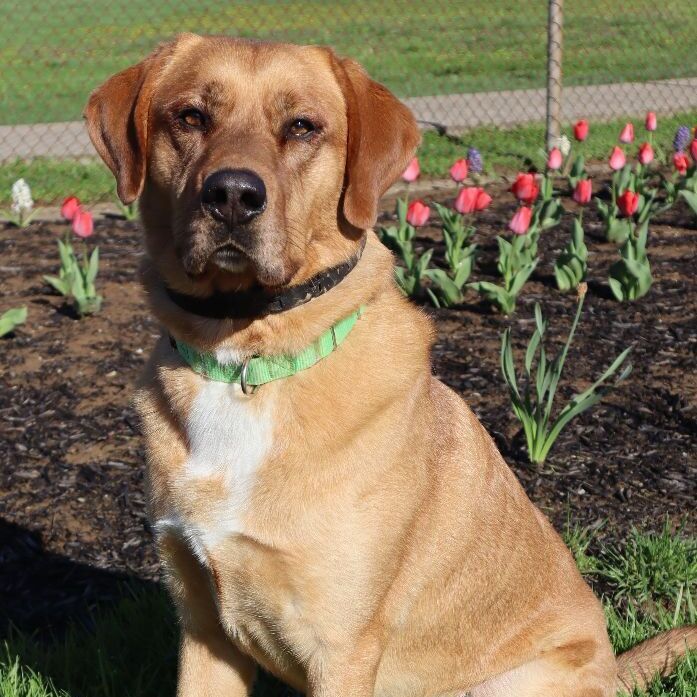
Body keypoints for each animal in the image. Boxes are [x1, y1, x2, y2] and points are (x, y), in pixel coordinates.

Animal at [84, 34, 692, 696]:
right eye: (191, 116)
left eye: (302, 127)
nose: (233, 197)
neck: (247, 358)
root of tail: (614, 668)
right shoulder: (203, 631)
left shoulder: (340, 646)